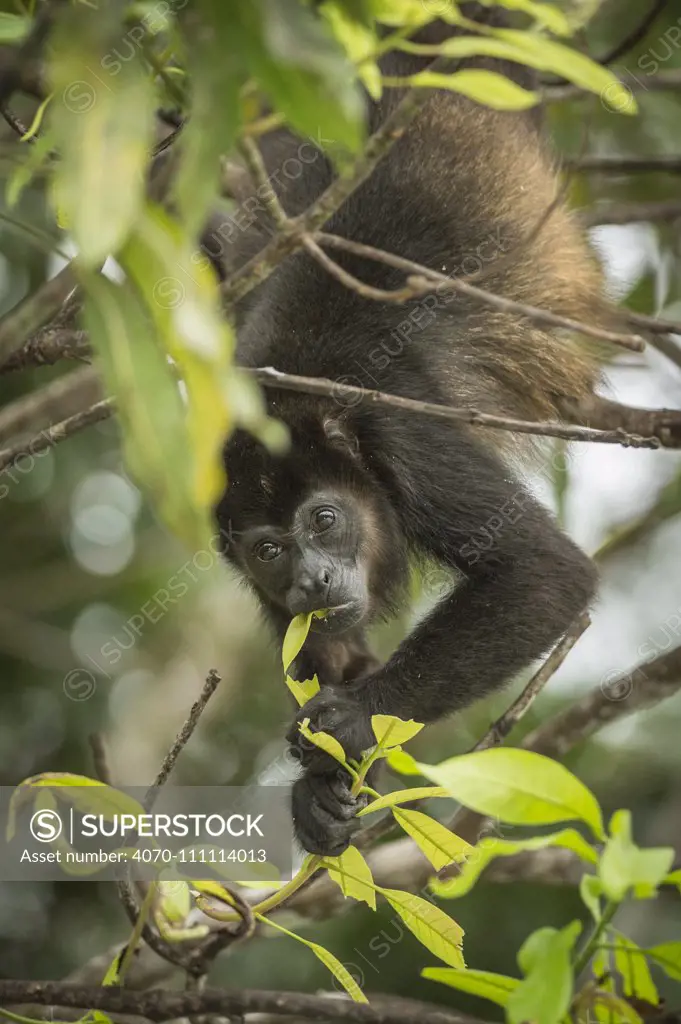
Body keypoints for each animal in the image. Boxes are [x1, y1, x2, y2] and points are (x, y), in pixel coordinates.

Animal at [210, 9, 602, 856]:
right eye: (268, 551)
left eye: (324, 520)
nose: (310, 582)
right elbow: (327, 648)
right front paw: (319, 796)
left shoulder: (400, 430)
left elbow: (542, 572)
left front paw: (355, 720)